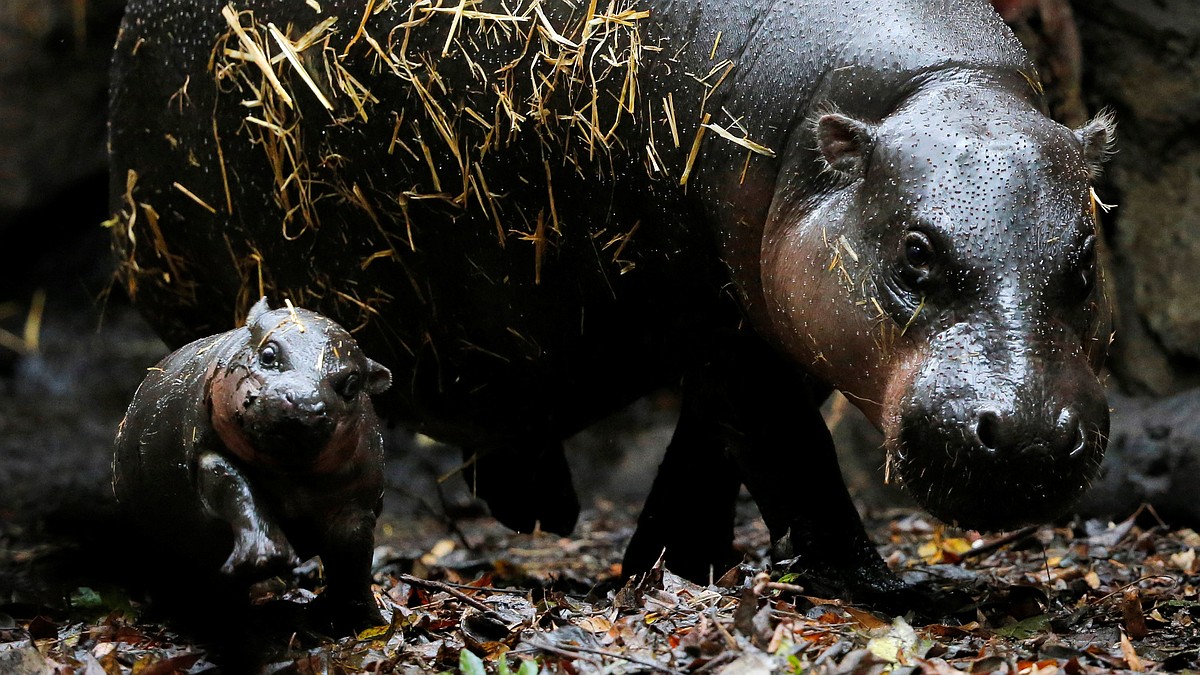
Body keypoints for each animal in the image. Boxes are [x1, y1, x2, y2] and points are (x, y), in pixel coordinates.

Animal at [111, 296, 388, 629]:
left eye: (351, 384)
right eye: (268, 353)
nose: (304, 401)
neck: (291, 479)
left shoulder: (355, 500)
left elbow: (354, 557)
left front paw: (364, 621)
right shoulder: (208, 456)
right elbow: (238, 491)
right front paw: (266, 559)